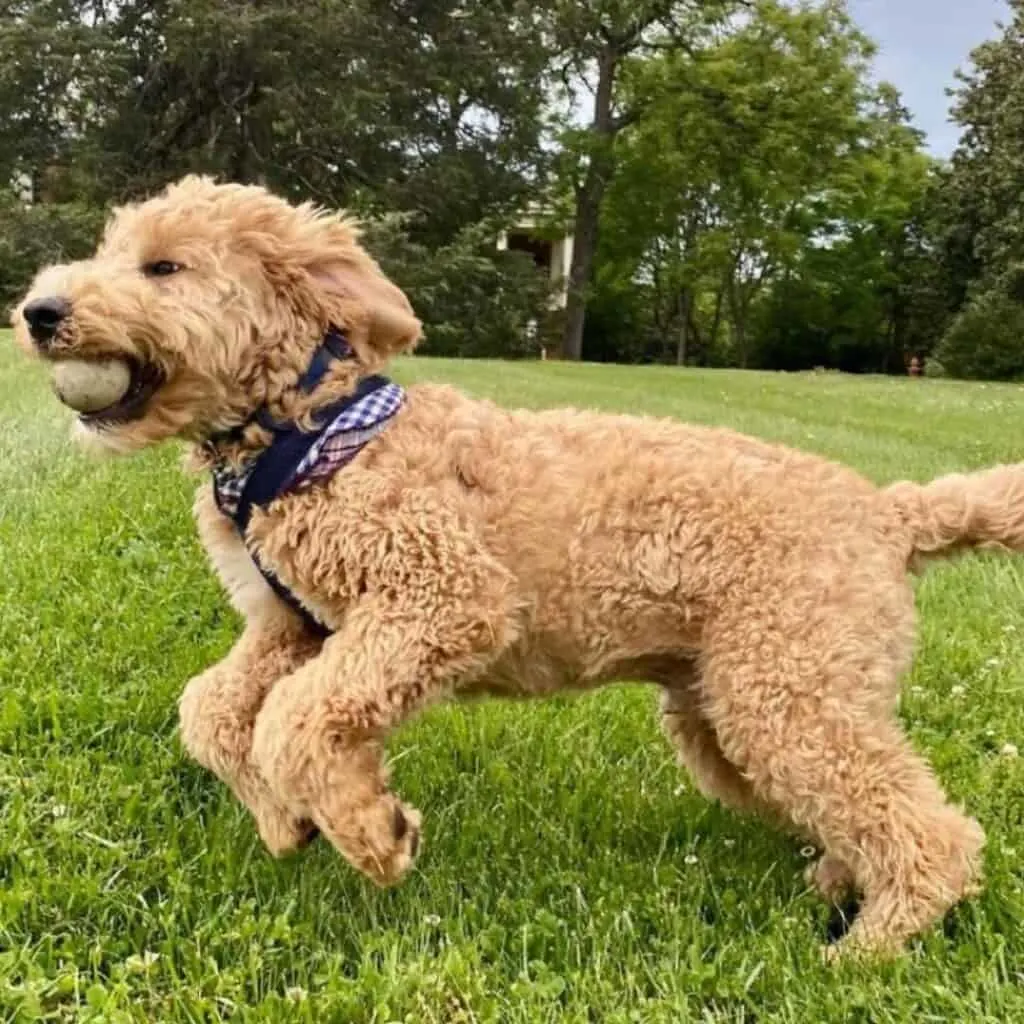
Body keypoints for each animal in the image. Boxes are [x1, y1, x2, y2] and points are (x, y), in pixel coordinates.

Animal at [14, 178, 1024, 958]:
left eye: (164, 267)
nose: (38, 312)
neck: (307, 432)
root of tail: (889, 510)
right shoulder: (291, 624)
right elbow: (216, 710)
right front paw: (286, 820)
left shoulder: (440, 597)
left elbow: (293, 719)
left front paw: (373, 835)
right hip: (738, 712)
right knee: (863, 807)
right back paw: (836, 885)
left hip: (786, 690)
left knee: (933, 832)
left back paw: (868, 949)